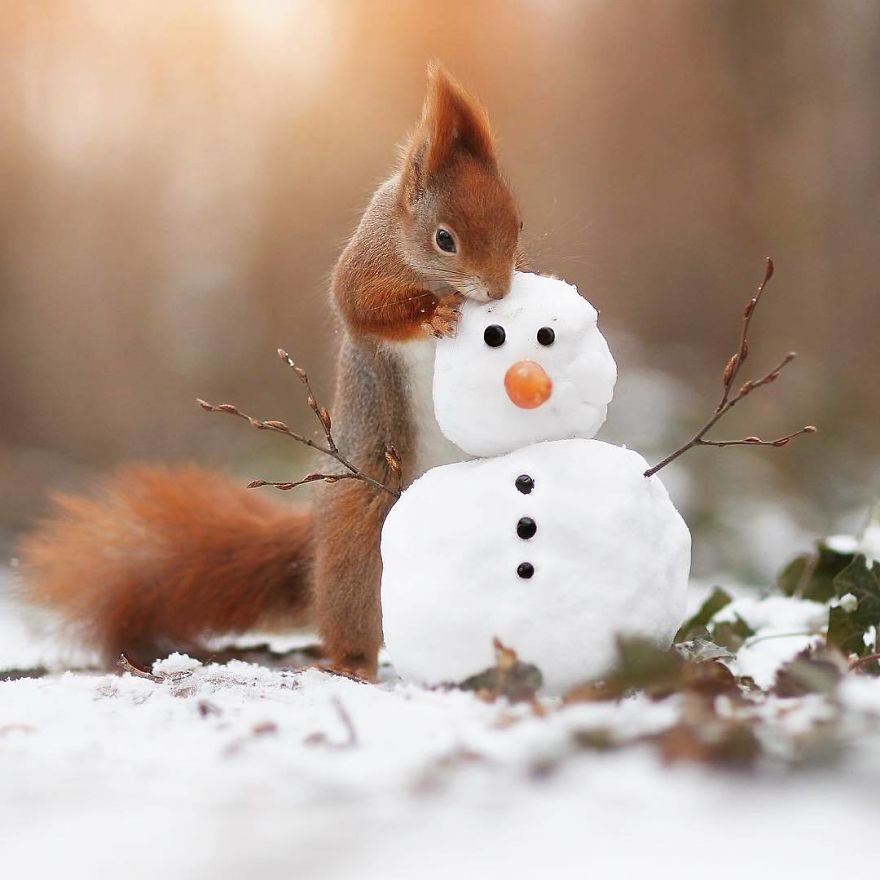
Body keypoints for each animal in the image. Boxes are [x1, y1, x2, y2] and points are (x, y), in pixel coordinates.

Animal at [17, 63, 524, 680]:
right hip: (364, 520)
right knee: (351, 603)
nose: (498, 292)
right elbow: (362, 306)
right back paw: (355, 663)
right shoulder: (365, 269)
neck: (411, 249)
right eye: (444, 239)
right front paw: (436, 314)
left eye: (519, 225)